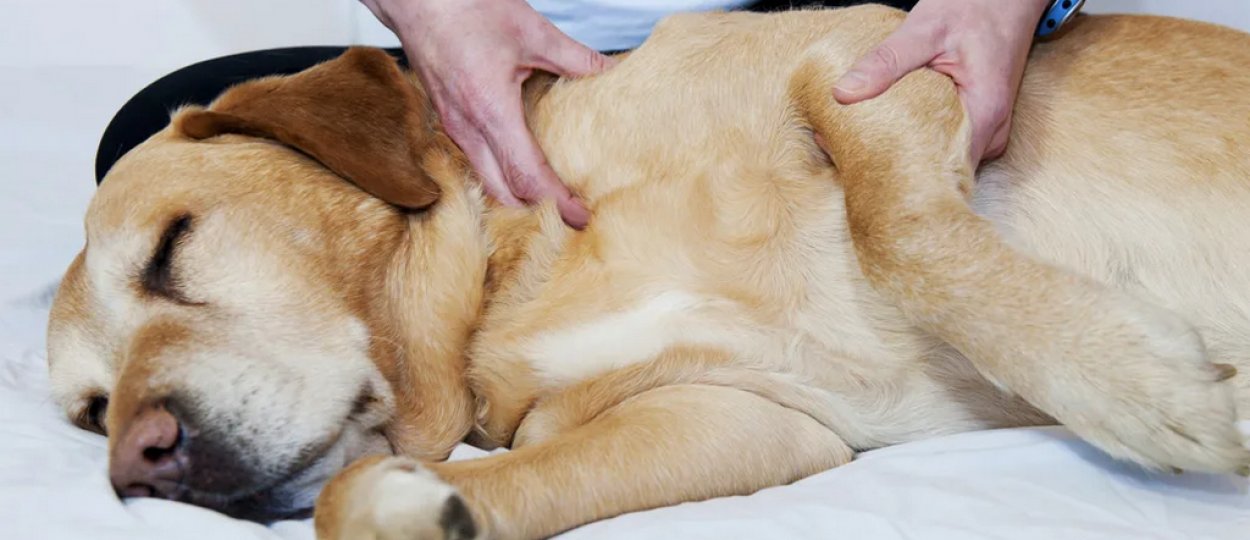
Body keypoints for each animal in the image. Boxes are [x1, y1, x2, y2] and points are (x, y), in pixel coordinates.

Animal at [45, 4, 1250, 539]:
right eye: (88, 414)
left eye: (173, 246)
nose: (138, 465)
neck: (513, 278)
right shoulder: (740, 420)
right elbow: (393, 492)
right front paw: (420, 507)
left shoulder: (865, 64)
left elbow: (900, 234)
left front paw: (1138, 389)